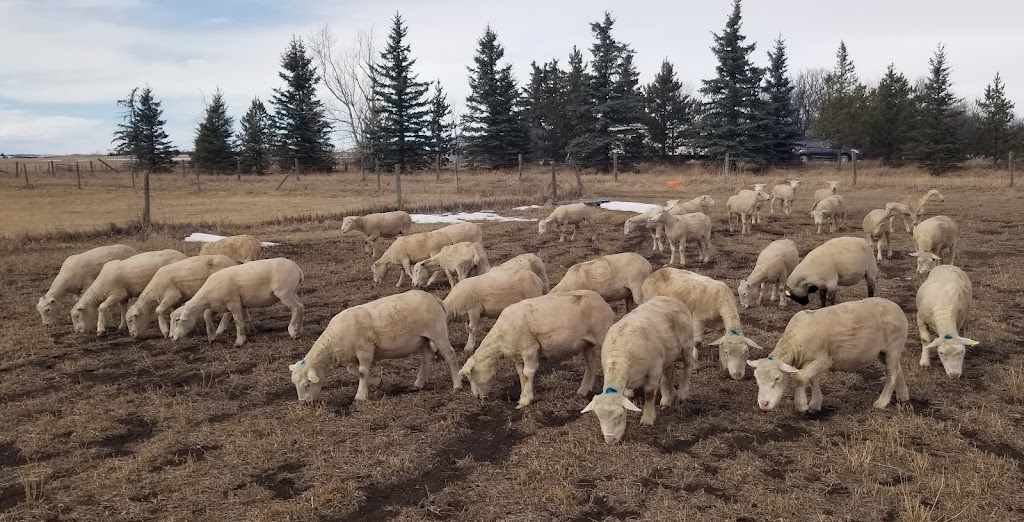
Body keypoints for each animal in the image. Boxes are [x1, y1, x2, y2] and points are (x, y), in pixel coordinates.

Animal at [168, 258, 304, 347]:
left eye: (177, 320)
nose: (171, 337)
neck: (206, 296)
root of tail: (297, 269)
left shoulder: (234, 304)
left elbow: (238, 322)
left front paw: (239, 341)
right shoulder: (219, 305)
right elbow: (207, 315)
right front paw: (212, 337)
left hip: (284, 292)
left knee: (296, 308)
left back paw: (293, 331)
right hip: (293, 291)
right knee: (301, 306)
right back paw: (299, 329)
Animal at [289, 289, 462, 403]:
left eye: (307, 384)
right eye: (295, 384)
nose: (304, 403)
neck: (332, 343)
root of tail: (434, 298)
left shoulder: (365, 349)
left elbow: (362, 372)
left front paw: (361, 396)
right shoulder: (352, 355)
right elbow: (352, 371)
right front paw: (378, 382)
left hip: (437, 331)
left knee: (450, 354)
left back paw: (457, 385)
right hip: (422, 338)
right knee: (426, 357)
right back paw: (419, 383)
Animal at [459, 290, 615, 409]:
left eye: (471, 376)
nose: (477, 397)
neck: (500, 339)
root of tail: (601, 300)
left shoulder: (529, 349)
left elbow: (528, 373)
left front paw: (525, 401)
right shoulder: (518, 355)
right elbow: (521, 374)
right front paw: (523, 396)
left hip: (603, 332)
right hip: (586, 342)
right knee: (591, 363)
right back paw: (583, 390)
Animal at [580, 296, 696, 443]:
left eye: (620, 415)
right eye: (599, 417)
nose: (609, 440)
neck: (618, 358)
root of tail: (669, 298)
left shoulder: (654, 370)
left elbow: (649, 394)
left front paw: (647, 419)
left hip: (687, 343)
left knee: (687, 365)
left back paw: (682, 394)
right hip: (667, 353)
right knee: (669, 372)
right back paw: (666, 400)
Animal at [747, 297, 909, 413]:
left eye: (777, 378)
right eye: (756, 379)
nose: (763, 404)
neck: (794, 341)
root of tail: (897, 308)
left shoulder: (824, 360)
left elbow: (800, 378)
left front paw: (801, 406)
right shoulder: (811, 361)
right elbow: (813, 379)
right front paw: (815, 404)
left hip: (893, 347)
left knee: (892, 373)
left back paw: (882, 402)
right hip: (884, 352)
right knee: (898, 368)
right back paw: (903, 397)